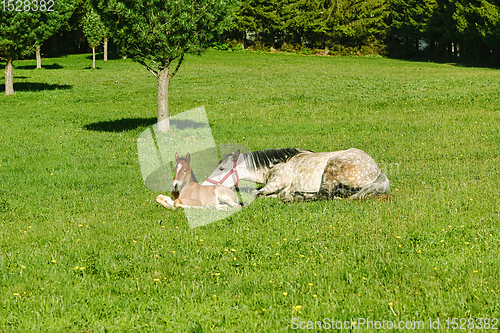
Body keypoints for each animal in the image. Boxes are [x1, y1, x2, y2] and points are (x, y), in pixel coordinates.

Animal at [203, 147, 390, 200]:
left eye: (221, 169)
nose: (204, 186)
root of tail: (377, 170)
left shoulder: (276, 182)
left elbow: (258, 193)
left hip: (332, 168)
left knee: (325, 195)